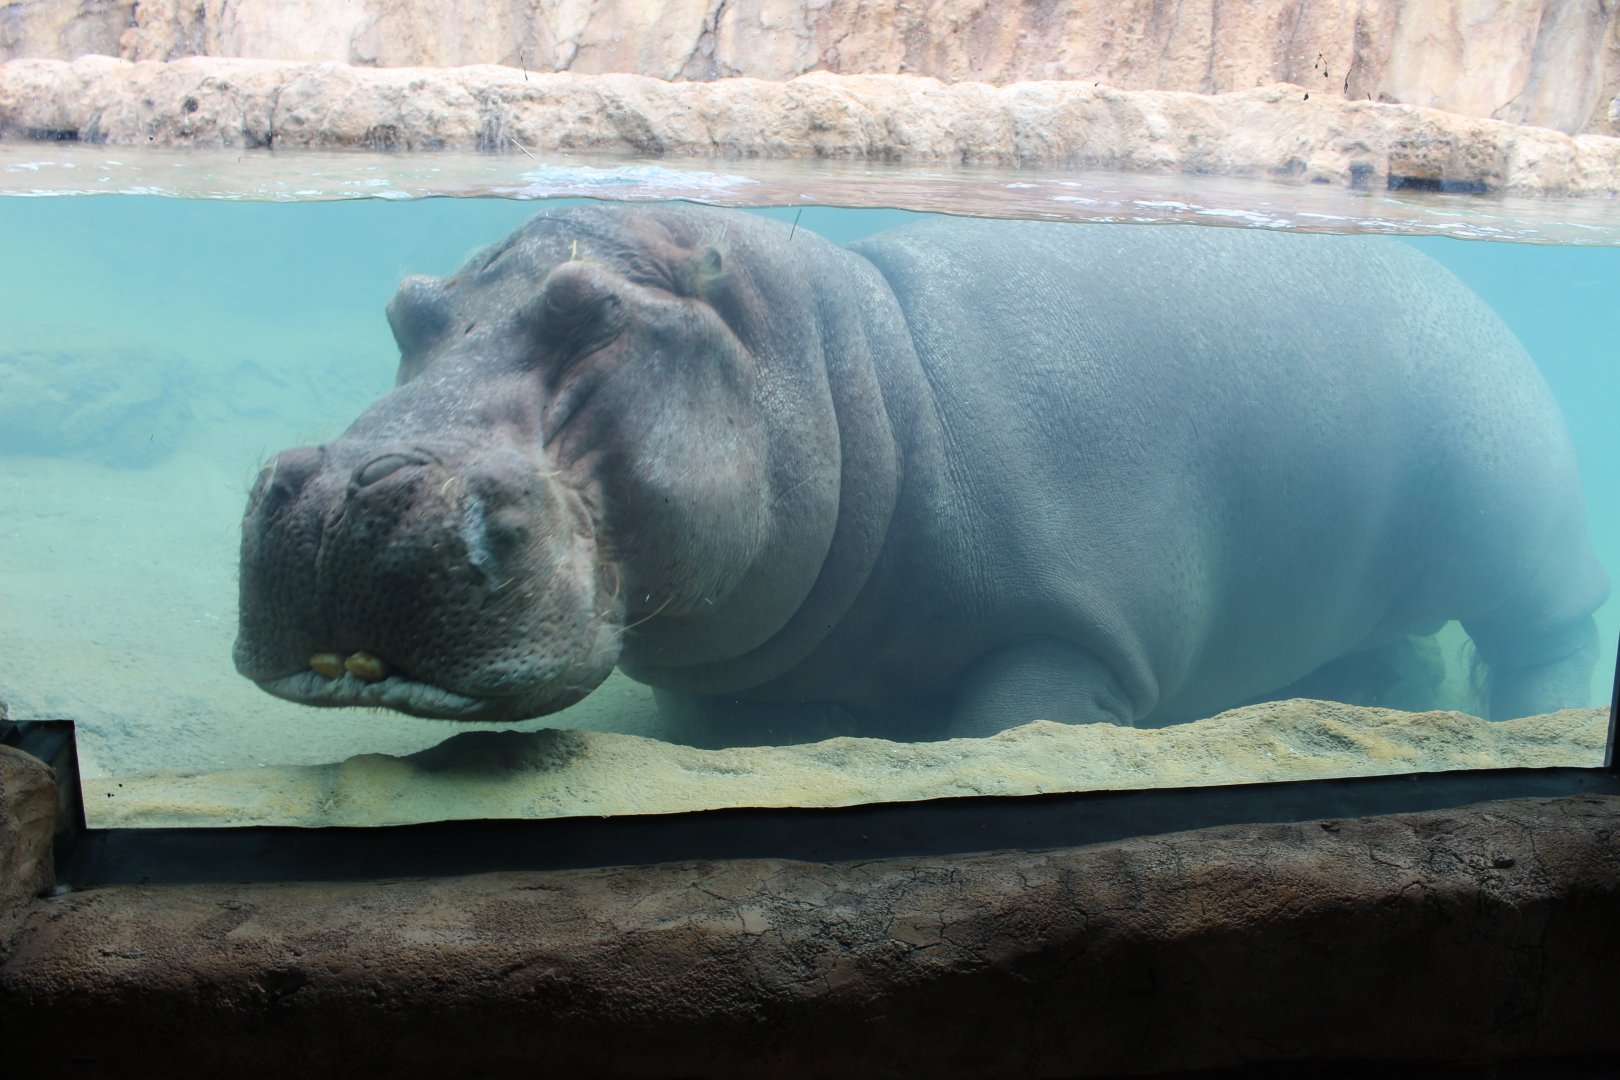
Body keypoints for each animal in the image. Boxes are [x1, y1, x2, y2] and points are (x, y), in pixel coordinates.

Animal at [234, 204, 1610, 744]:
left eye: (592, 313)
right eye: (409, 310)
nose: (343, 498)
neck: (854, 379)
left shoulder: (1068, 638)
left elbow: (1009, 721)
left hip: (1517, 524)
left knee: (1541, 634)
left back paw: (1525, 724)